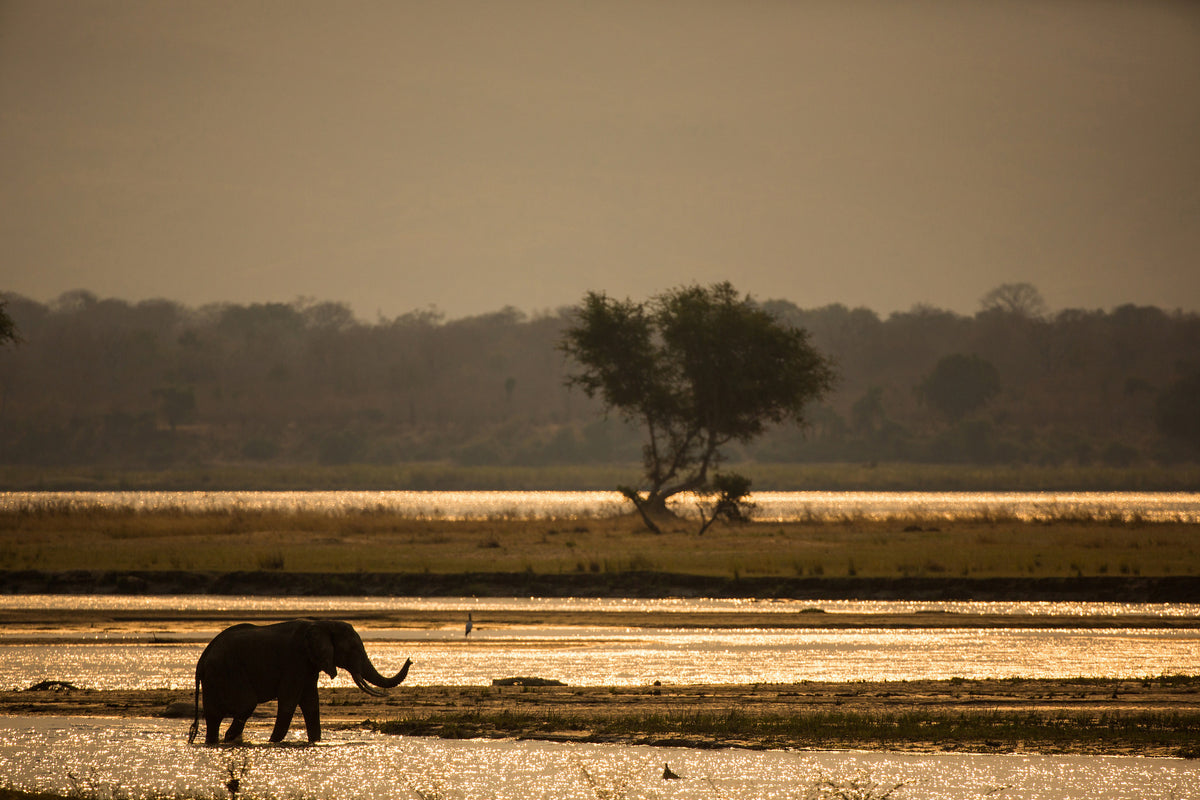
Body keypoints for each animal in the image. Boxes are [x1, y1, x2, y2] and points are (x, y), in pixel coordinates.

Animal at [188, 618, 412, 745]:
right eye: (353, 649)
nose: (410, 659)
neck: (322, 624)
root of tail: (202, 660)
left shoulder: (309, 664)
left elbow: (311, 703)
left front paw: (315, 742)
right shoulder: (294, 661)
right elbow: (289, 702)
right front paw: (273, 743)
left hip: (216, 677)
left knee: (214, 717)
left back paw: (217, 742)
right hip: (227, 672)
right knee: (246, 705)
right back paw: (228, 740)